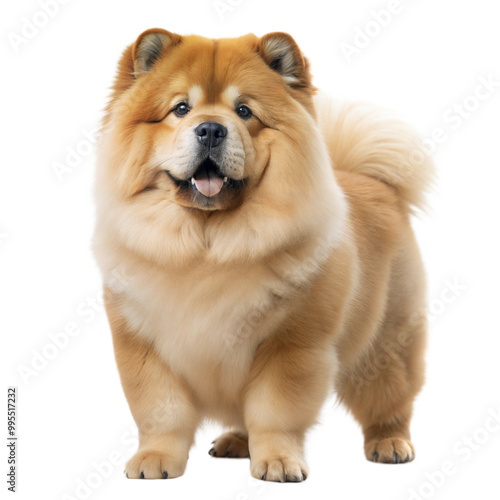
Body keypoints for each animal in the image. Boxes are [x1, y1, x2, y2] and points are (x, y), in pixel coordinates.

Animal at [94, 27, 434, 480]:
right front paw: (155, 460)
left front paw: (278, 462)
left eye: (244, 111)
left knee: (389, 396)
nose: (210, 129)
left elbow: (275, 412)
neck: (209, 246)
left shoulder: (291, 346)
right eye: (180, 109)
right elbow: (161, 411)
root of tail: (374, 182)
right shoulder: (142, 343)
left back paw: (390, 443)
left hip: (385, 342)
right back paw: (235, 443)